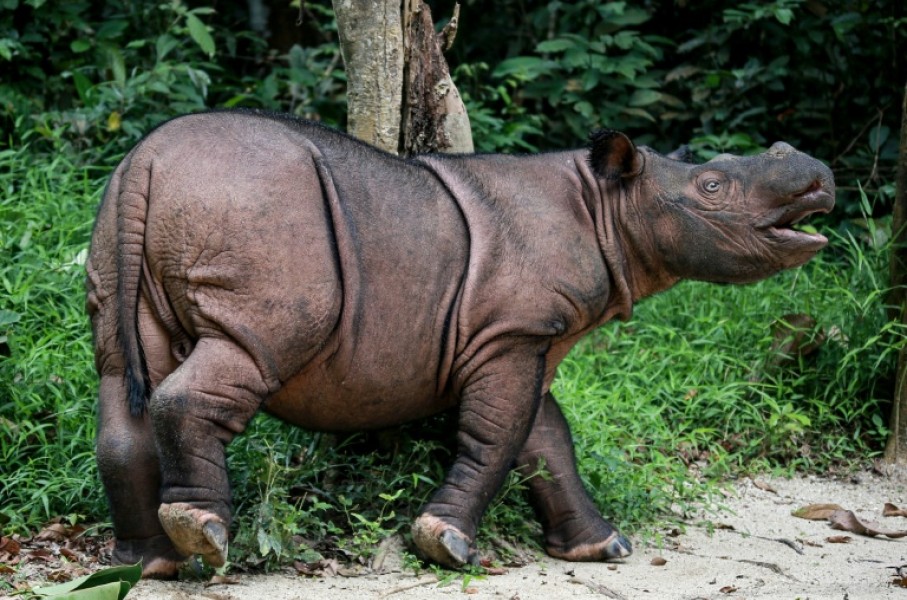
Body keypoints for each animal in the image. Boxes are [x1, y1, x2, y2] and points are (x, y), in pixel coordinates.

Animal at [86, 109, 834, 578]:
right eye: (711, 187)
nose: (814, 172)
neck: (608, 205)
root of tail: (146, 162)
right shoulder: (513, 333)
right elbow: (499, 437)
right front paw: (445, 546)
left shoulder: (523, 337)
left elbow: (545, 439)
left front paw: (604, 548)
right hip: (257, 219)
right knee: (242, 355)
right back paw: (206, 539)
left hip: (125, 219)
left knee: (122, 374)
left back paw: (148, 564)